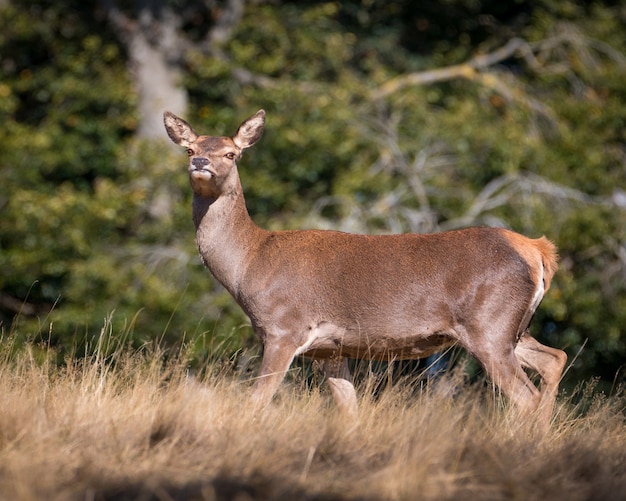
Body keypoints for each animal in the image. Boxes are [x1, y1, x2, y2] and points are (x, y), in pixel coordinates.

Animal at [161, 109, 564, 430]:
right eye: (190, 149)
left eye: (232, 153)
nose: (200, 163)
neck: (250, 263)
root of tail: (537, 250)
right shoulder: (329, 350)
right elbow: (349, 410)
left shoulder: (283, 329)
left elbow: (256, 401)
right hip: (512, 328)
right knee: (554, 359)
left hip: (489, 325)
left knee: (526, 397)